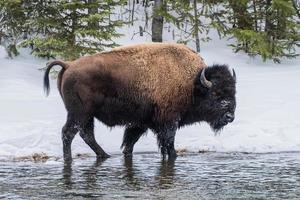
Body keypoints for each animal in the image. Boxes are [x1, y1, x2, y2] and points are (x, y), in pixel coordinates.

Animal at [44, 43, 237, 162]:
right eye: (216, 93)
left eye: (233, 91)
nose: (230, 116)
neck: (192, 83)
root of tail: (69, 65)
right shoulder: (169, 122)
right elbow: (169, 144)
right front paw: (173, 156)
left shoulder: (140, 123)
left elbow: (130, 142)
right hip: (79, 113)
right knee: (69, 133)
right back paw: (74, 158)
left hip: (86, 115)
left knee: (85, 134)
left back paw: (104, 156)